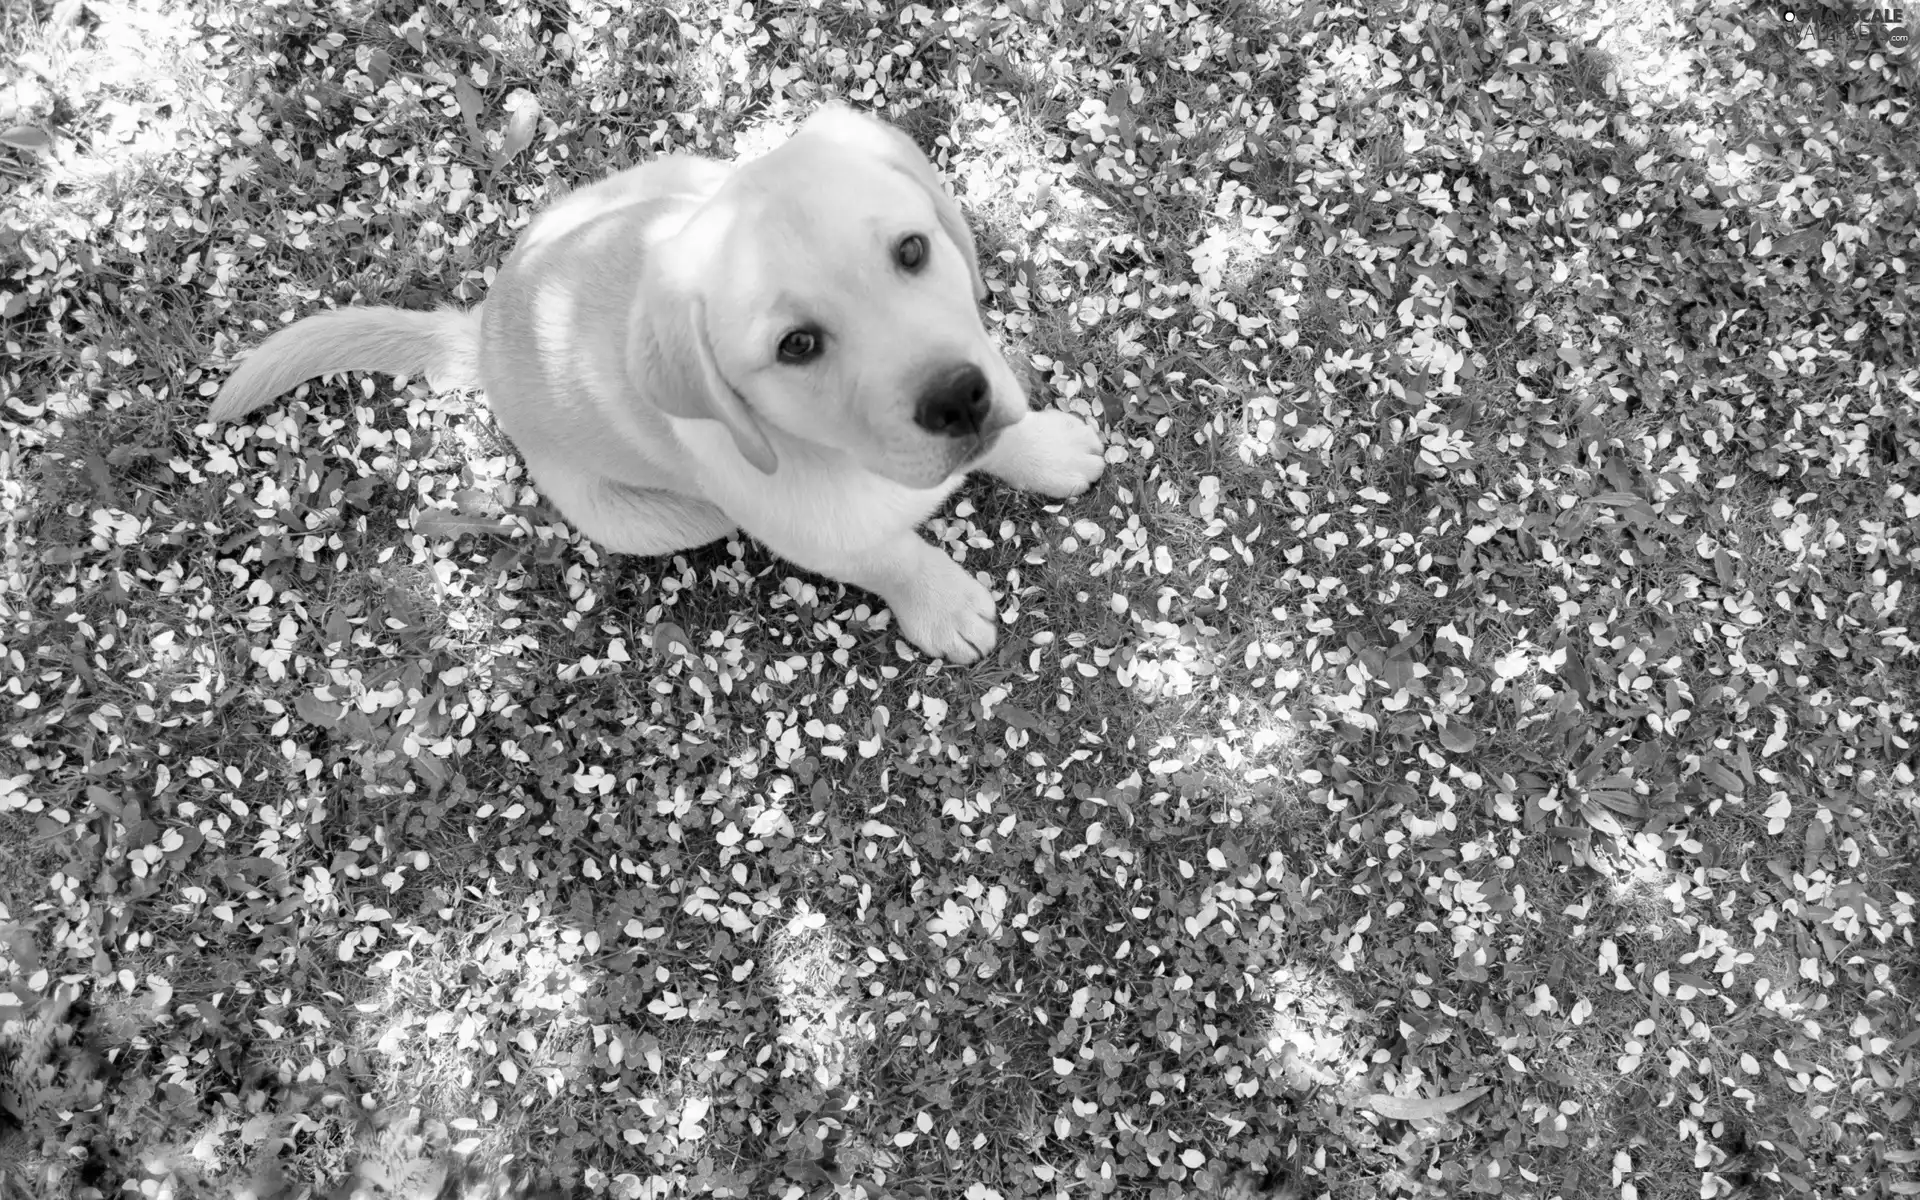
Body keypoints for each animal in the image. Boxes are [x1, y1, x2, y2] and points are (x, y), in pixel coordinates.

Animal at [210, 100, 1105, 664]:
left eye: (913, 250)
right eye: (797, 346)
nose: (958, 400)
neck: (833, 453)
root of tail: (486, 331)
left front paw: (1045, 448)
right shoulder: (815, 535)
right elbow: (892, 557)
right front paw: (945, 607)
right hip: (656, 517)